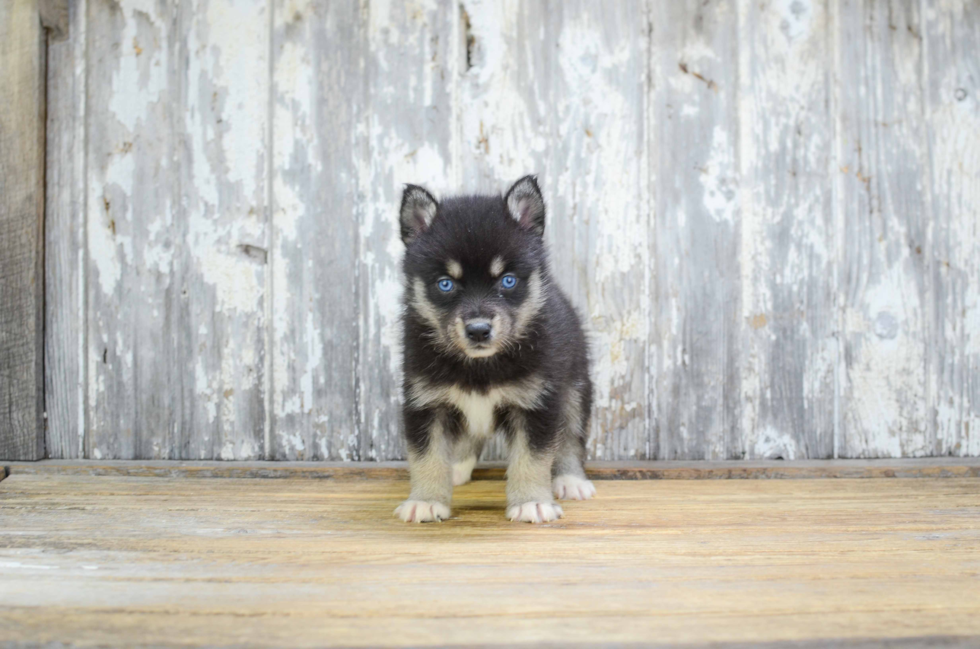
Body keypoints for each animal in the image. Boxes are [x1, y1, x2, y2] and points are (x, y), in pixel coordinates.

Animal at [394, 176, 592, 520]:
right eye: (445, 283)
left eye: (508, 281)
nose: (478, 330)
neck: (480, 366)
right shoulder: (425, 402)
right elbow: (426, 456)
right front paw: (426, 500)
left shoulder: (537, 402)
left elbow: (532, 458)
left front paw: (531, 502)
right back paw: (457, 468)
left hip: (575, 387)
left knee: (571, 436)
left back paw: (570, 480)